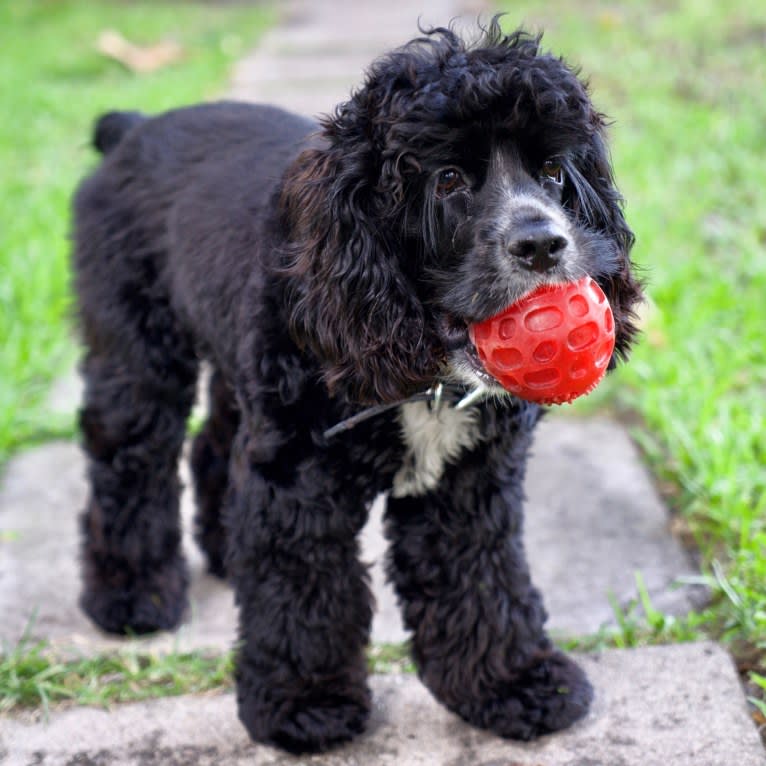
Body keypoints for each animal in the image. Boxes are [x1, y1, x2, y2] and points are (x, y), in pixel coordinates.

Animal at [72, 21, 640, 752]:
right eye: (447, 178)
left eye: (551, 171)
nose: (543, 244)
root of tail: (132, 129)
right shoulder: (299, 480)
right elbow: (306, 594)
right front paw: (304, 703)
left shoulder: (468, 484)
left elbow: (483, 581)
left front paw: (510, 684)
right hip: (136, 354)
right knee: (131, 462)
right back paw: (131, 597)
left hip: (237, 368)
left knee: (213, 445)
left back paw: (223, 552)